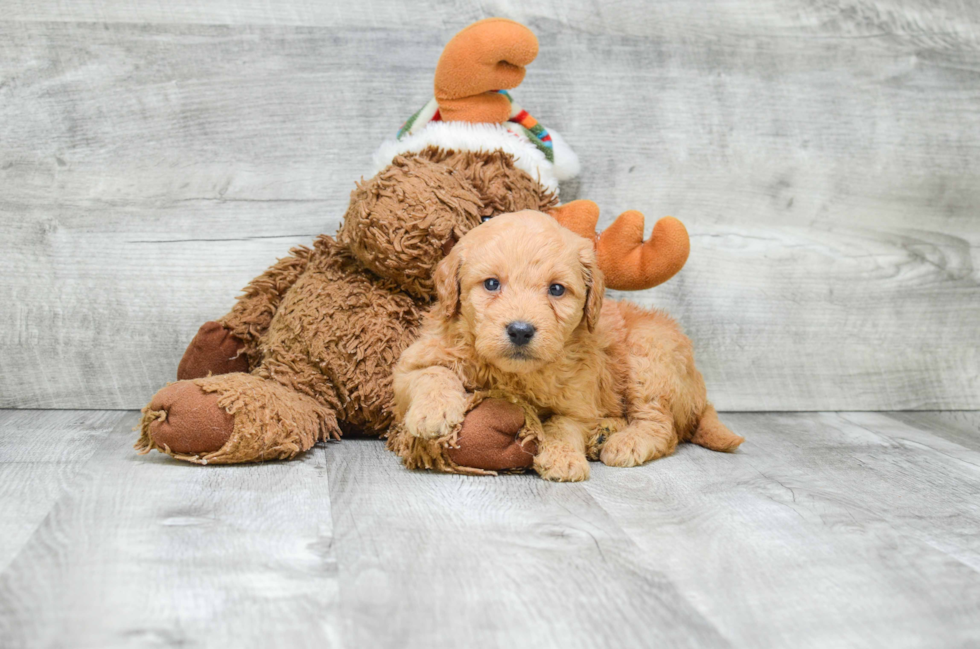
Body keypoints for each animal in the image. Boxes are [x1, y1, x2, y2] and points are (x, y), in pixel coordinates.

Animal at [392, 210, 744, 478]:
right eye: (491, 284)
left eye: (557, 289)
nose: (520, 331)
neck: (514, 374)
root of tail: (700, 394)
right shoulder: (414, 362)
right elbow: (433, 374)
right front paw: (433, 412)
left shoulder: (579, 402)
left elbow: (561, 426)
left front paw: (562, 457)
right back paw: (604, 433)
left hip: (649, 359)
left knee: (663, 427)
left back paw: (623, 442)